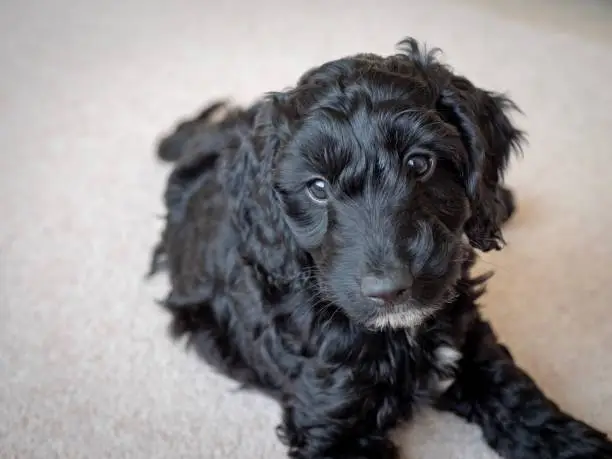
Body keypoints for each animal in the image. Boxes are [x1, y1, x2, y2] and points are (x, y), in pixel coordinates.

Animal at [148, 37, 612, 458]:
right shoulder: (334, 423)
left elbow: (519, 398)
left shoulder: (470, 344)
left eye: (419, 163)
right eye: (317, 188)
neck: (401, 333)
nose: (389, 289)